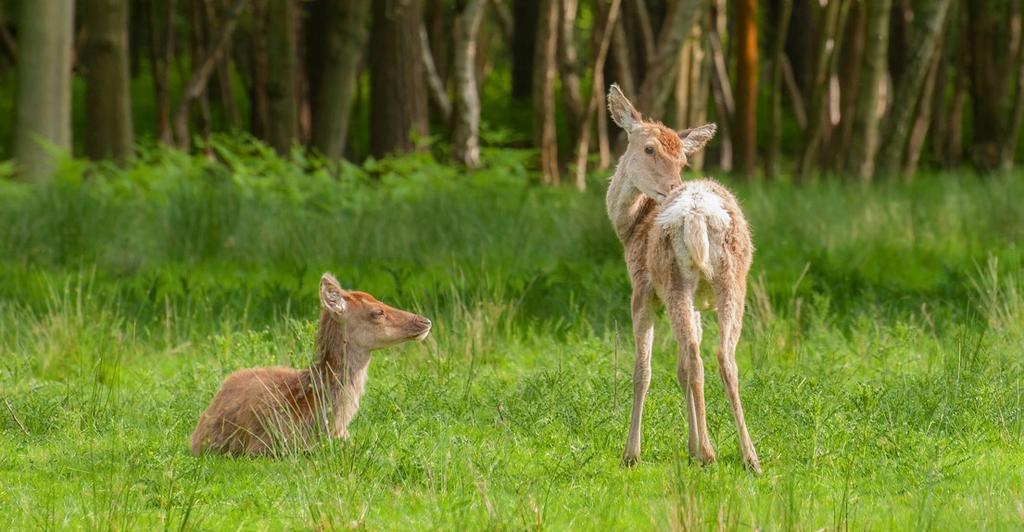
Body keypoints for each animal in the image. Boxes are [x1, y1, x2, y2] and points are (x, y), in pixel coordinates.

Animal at [606, 85, 761, 472]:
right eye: (650, 148)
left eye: (682, 159)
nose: (674, 184)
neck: (630, 229)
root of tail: (696, 214)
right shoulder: (695, 304)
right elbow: (678, 370)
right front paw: (690, 445)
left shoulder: (642, 289)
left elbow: (642, 370)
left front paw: (631, 453)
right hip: (730, 279)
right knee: (721, 356)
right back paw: (749, 457)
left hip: (672, 278)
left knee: (695, 357)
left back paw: (708, 453)